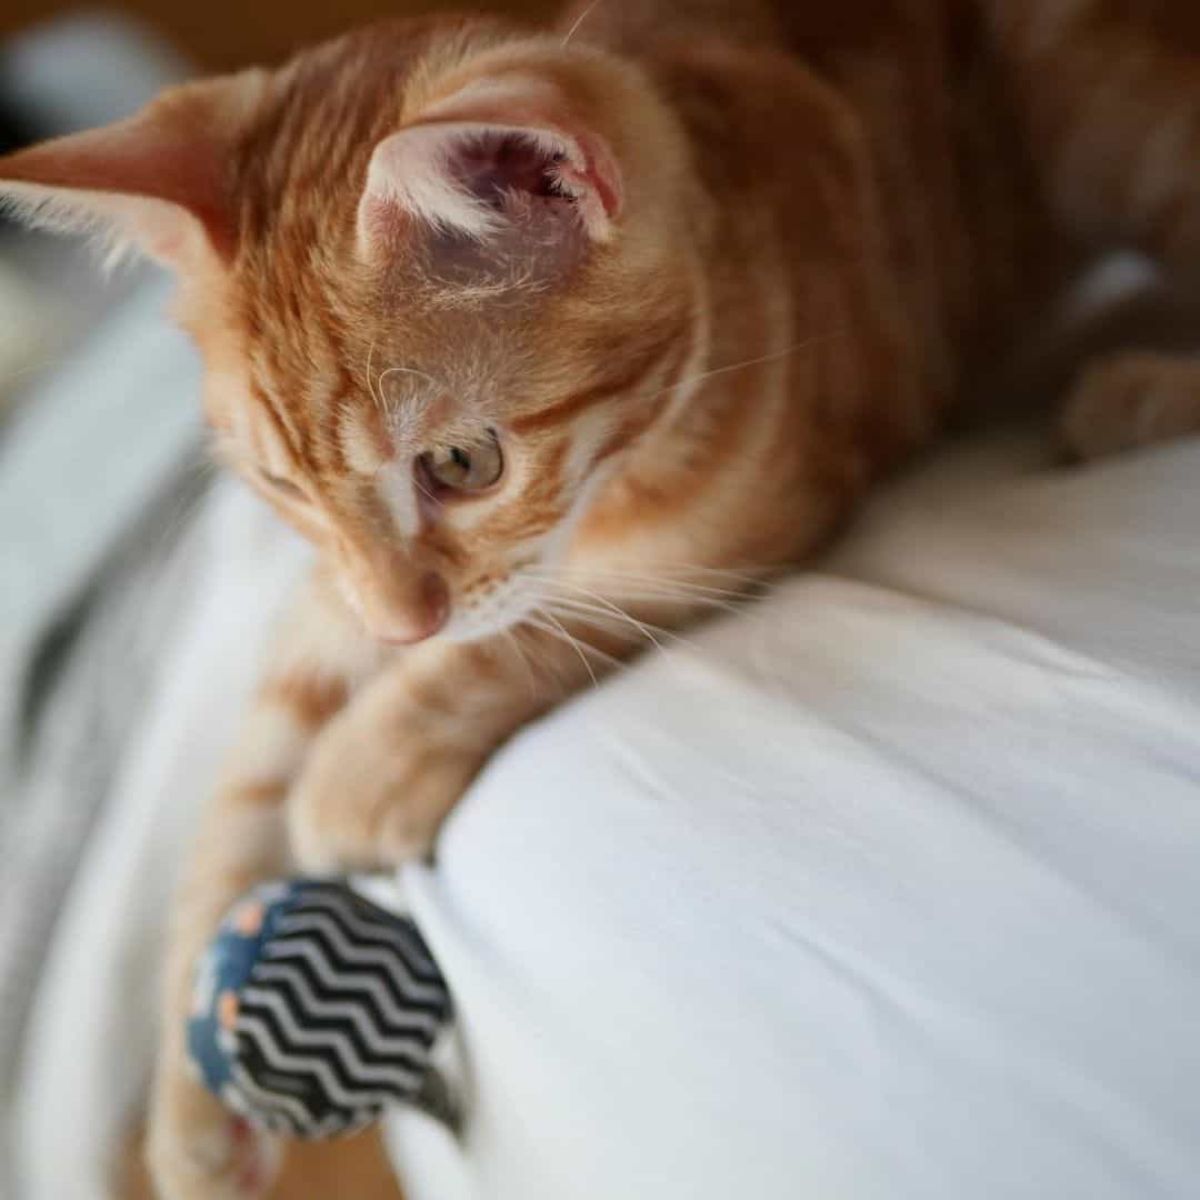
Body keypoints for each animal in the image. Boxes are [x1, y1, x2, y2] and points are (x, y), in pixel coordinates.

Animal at [2, 4, 1200, 1195]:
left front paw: (365, 760)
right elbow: (242, 783)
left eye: (463, 464)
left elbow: (532, 630)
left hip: (1085, 108)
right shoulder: (331, 597)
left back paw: (1140, 388)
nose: (403, 626)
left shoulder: (749, 517)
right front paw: (191, 1108)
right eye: (284, 486)